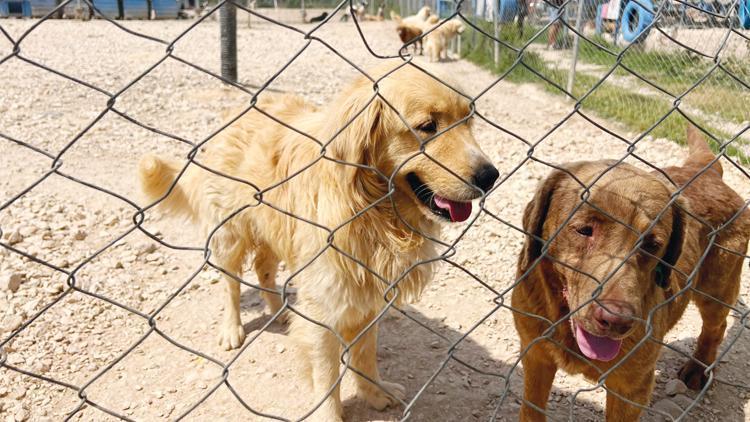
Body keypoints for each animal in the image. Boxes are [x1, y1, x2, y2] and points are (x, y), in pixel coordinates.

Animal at [137, 63, 500, 422]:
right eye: (427, 126)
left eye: (469, 122)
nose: (490, 176)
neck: (372, 210)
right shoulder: (325, 305)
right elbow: (327, 377)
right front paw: (331, 412)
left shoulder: (369, 295)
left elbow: (365, 353)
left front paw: (374, 392)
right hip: (230, 234)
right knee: (230, 283)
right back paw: (231, 329)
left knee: (264, 268)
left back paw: (279, 311)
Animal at [512, 126, 750, 422]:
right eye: (584, 229)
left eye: (652, 244)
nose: (617, 321)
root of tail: (705, 172)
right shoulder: (535, 356)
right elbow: (531, 408)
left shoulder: (632, 388)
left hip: (717, 287)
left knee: (716, 326)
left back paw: (698, 367)